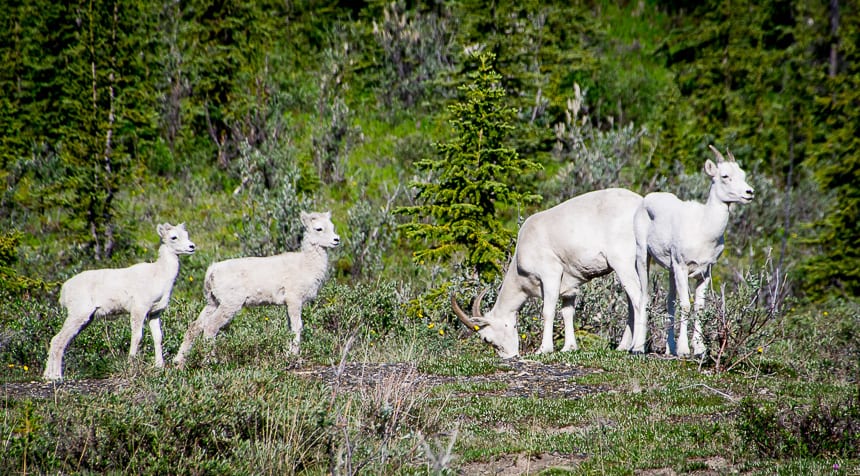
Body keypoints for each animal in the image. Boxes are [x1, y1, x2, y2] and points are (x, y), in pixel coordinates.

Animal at [42, 221, 196, 382]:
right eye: (174, 237)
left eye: (186, 235)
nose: (192, 247)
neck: (160, 275)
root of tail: (65, 289)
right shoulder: (139, 310)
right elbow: (137, 337)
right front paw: (131, 365)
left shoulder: (154, 313)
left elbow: (158, 337)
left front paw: (159, 366)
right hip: (79, 314)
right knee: (58, 340)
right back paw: (56, 377)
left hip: (86, 319)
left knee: (58, 339)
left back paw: (48, 376)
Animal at [172, 209, 340, 364]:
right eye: (319, 228)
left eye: (332, 226)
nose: (336, 239)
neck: (306, 264)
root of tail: (211, 271)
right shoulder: (294, 300)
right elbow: (297, 327)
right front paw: (294, 356)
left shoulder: (288, 303)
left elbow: (289, 328)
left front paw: (287, 353)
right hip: (230, 304)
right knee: (210, 327)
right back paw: (212, 361)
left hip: (212, 302)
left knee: (194, 327)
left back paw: (179, 362)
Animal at [450, 188, 644, 358]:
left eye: (486, 339)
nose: (510, 356)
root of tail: (641, 206)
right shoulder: (570, 286)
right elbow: (567, 312)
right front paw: (569, 347)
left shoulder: (550, 274)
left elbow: (548, 311)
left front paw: (544, 349)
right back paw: (622, 346)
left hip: (622, 262)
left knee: (637, 297)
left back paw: (636, 347)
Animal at [632, 146, 752, 356]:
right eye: (725, 175)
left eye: (742, 174)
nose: (749, 192)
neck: (703, 228)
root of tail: (645, 200)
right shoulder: (682, 267)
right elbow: (686, 305)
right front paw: (684, 349)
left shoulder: (705, 271)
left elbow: (699, 307)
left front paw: (699, 348)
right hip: (643, 257)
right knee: (644, 297)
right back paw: (638, 348)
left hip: (670, 270)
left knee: (669, 302)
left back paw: (669, 349)